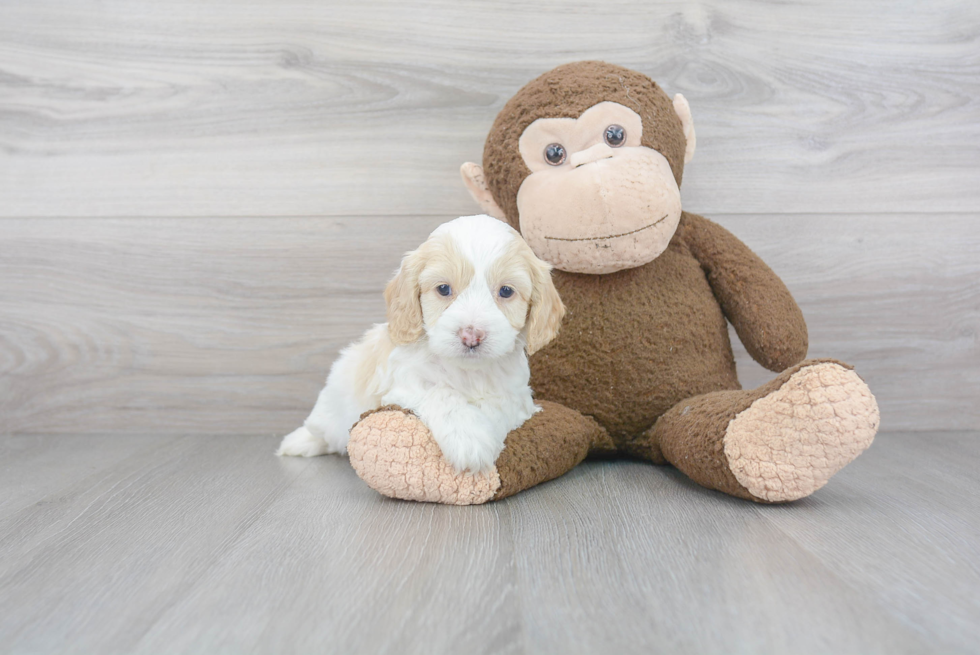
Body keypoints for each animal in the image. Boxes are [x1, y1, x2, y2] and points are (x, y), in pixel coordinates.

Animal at [276, 214, 568, 472]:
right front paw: (469, 438)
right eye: (443, 289)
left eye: (506, 291)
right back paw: (298, 442)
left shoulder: (517, 394)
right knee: (321, 429)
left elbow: (498, 405)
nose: (471, 336)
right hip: (334, 400)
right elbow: (441, 392)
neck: (468, 372)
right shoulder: (404, 384)